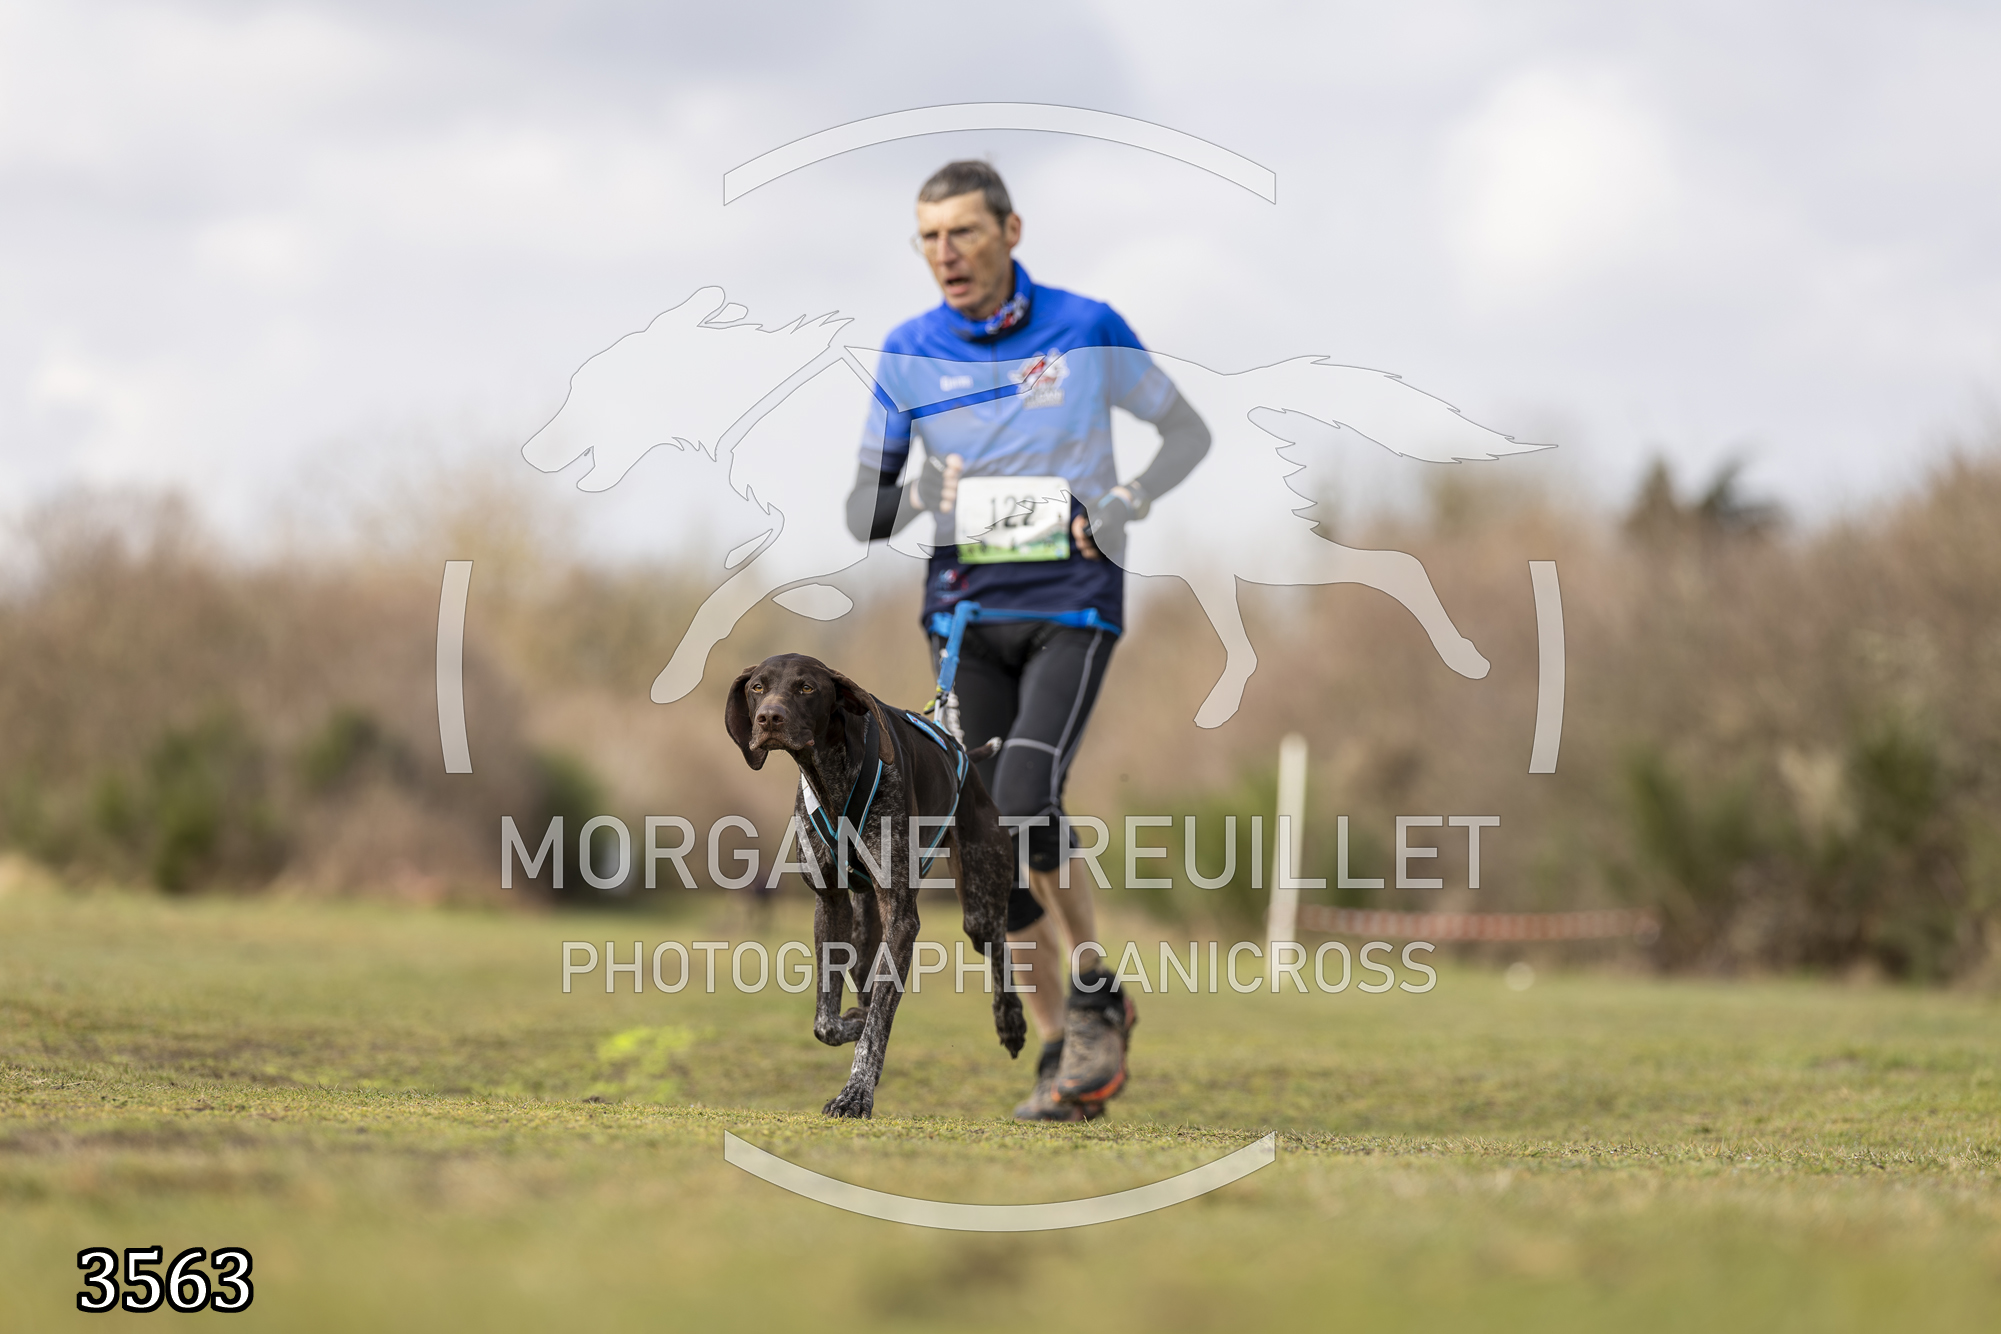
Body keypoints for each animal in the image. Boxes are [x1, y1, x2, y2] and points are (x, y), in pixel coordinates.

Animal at [724, 652, 1026, 1118]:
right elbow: (827, 1021)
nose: (768, 718)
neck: (832, 776)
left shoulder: (901, 917)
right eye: (758, 686)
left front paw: (855, 1095)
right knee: (865, 980)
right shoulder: (831, 904)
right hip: (863, 931)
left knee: (997, 946)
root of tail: (963, 755)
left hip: (978, 903)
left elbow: (878, 1023)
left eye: (807, 687)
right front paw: (850, 1022)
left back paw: (1010, 1020)